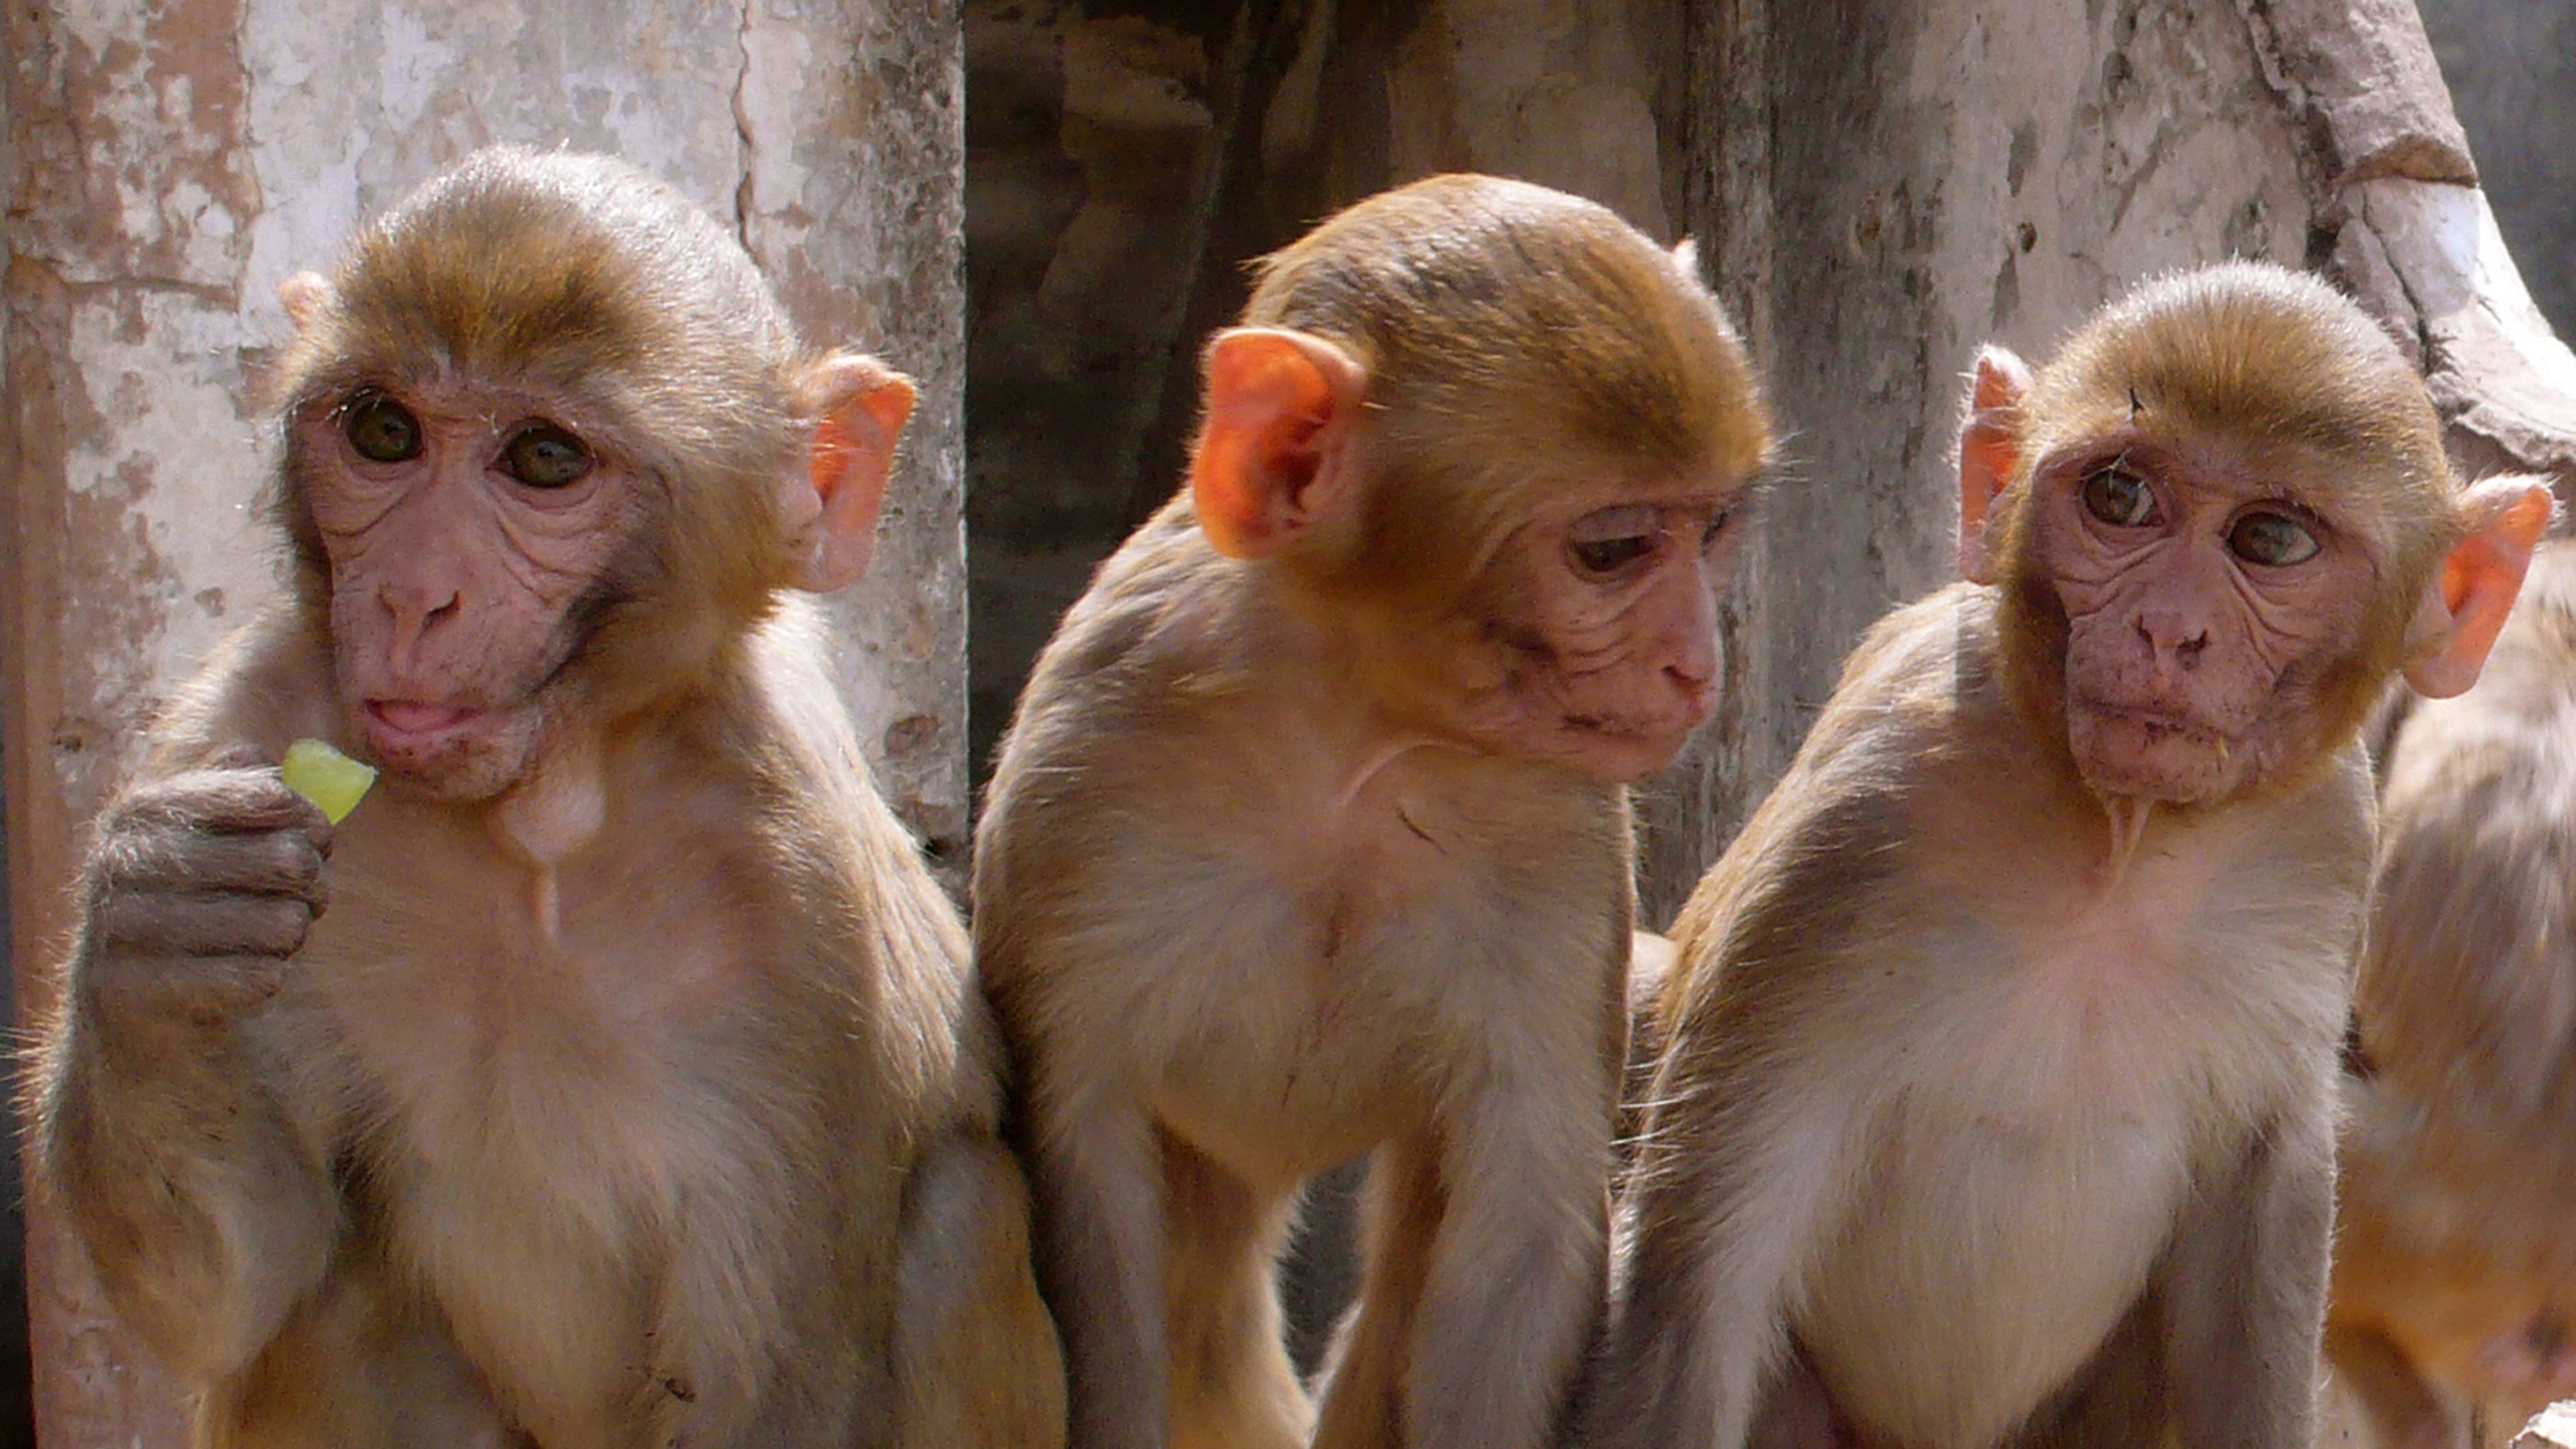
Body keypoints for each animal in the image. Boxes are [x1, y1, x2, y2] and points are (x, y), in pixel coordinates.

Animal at [26, 147, 1064, 1449]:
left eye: (545, 461)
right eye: (383, 431)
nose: (413, 595)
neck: (539, 829)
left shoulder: (809, 908)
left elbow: (775, 1383)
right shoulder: (242, 717)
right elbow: (235, 1281)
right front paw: (156, 935)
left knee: (957, 1220)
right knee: (333, 1298)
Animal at [972, 173, 1774, 1449]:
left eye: (1715, 529)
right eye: (1612, 551)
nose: (1698, 666)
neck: (1351, 743)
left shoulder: (1560, 837)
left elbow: (1519, 1236)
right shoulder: (1082, 779)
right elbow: (1089, 1193)